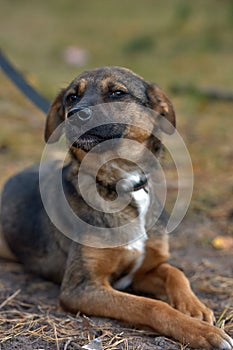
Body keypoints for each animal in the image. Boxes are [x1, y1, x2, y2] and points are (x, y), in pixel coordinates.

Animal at [0, 66, 233, 350]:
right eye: (71, 98)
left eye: (117, 93)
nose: (75, 114)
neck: (123, 183)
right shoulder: (80, 289)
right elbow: (151, 306)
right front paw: (202, 332)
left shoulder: (140, 271)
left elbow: (175, 272)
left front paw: (194, 307)